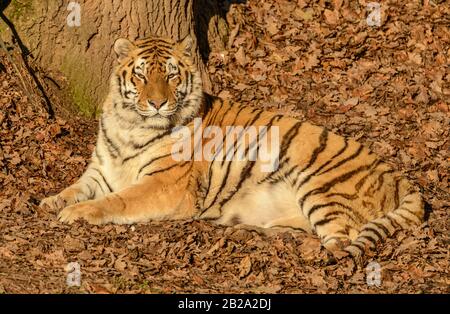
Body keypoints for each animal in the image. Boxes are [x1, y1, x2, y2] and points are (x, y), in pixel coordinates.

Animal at [40, 35, 424, 258]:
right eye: (141, 75)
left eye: (171, 75)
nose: (157, 103)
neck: (130, 124)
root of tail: (400, 177)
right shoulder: (101, 170)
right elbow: (75, 188)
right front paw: (51, 202)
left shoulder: (165, 184)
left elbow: (118, 200)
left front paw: (77, 213)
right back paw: (255, 228)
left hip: (319, 183)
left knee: (343, 239)